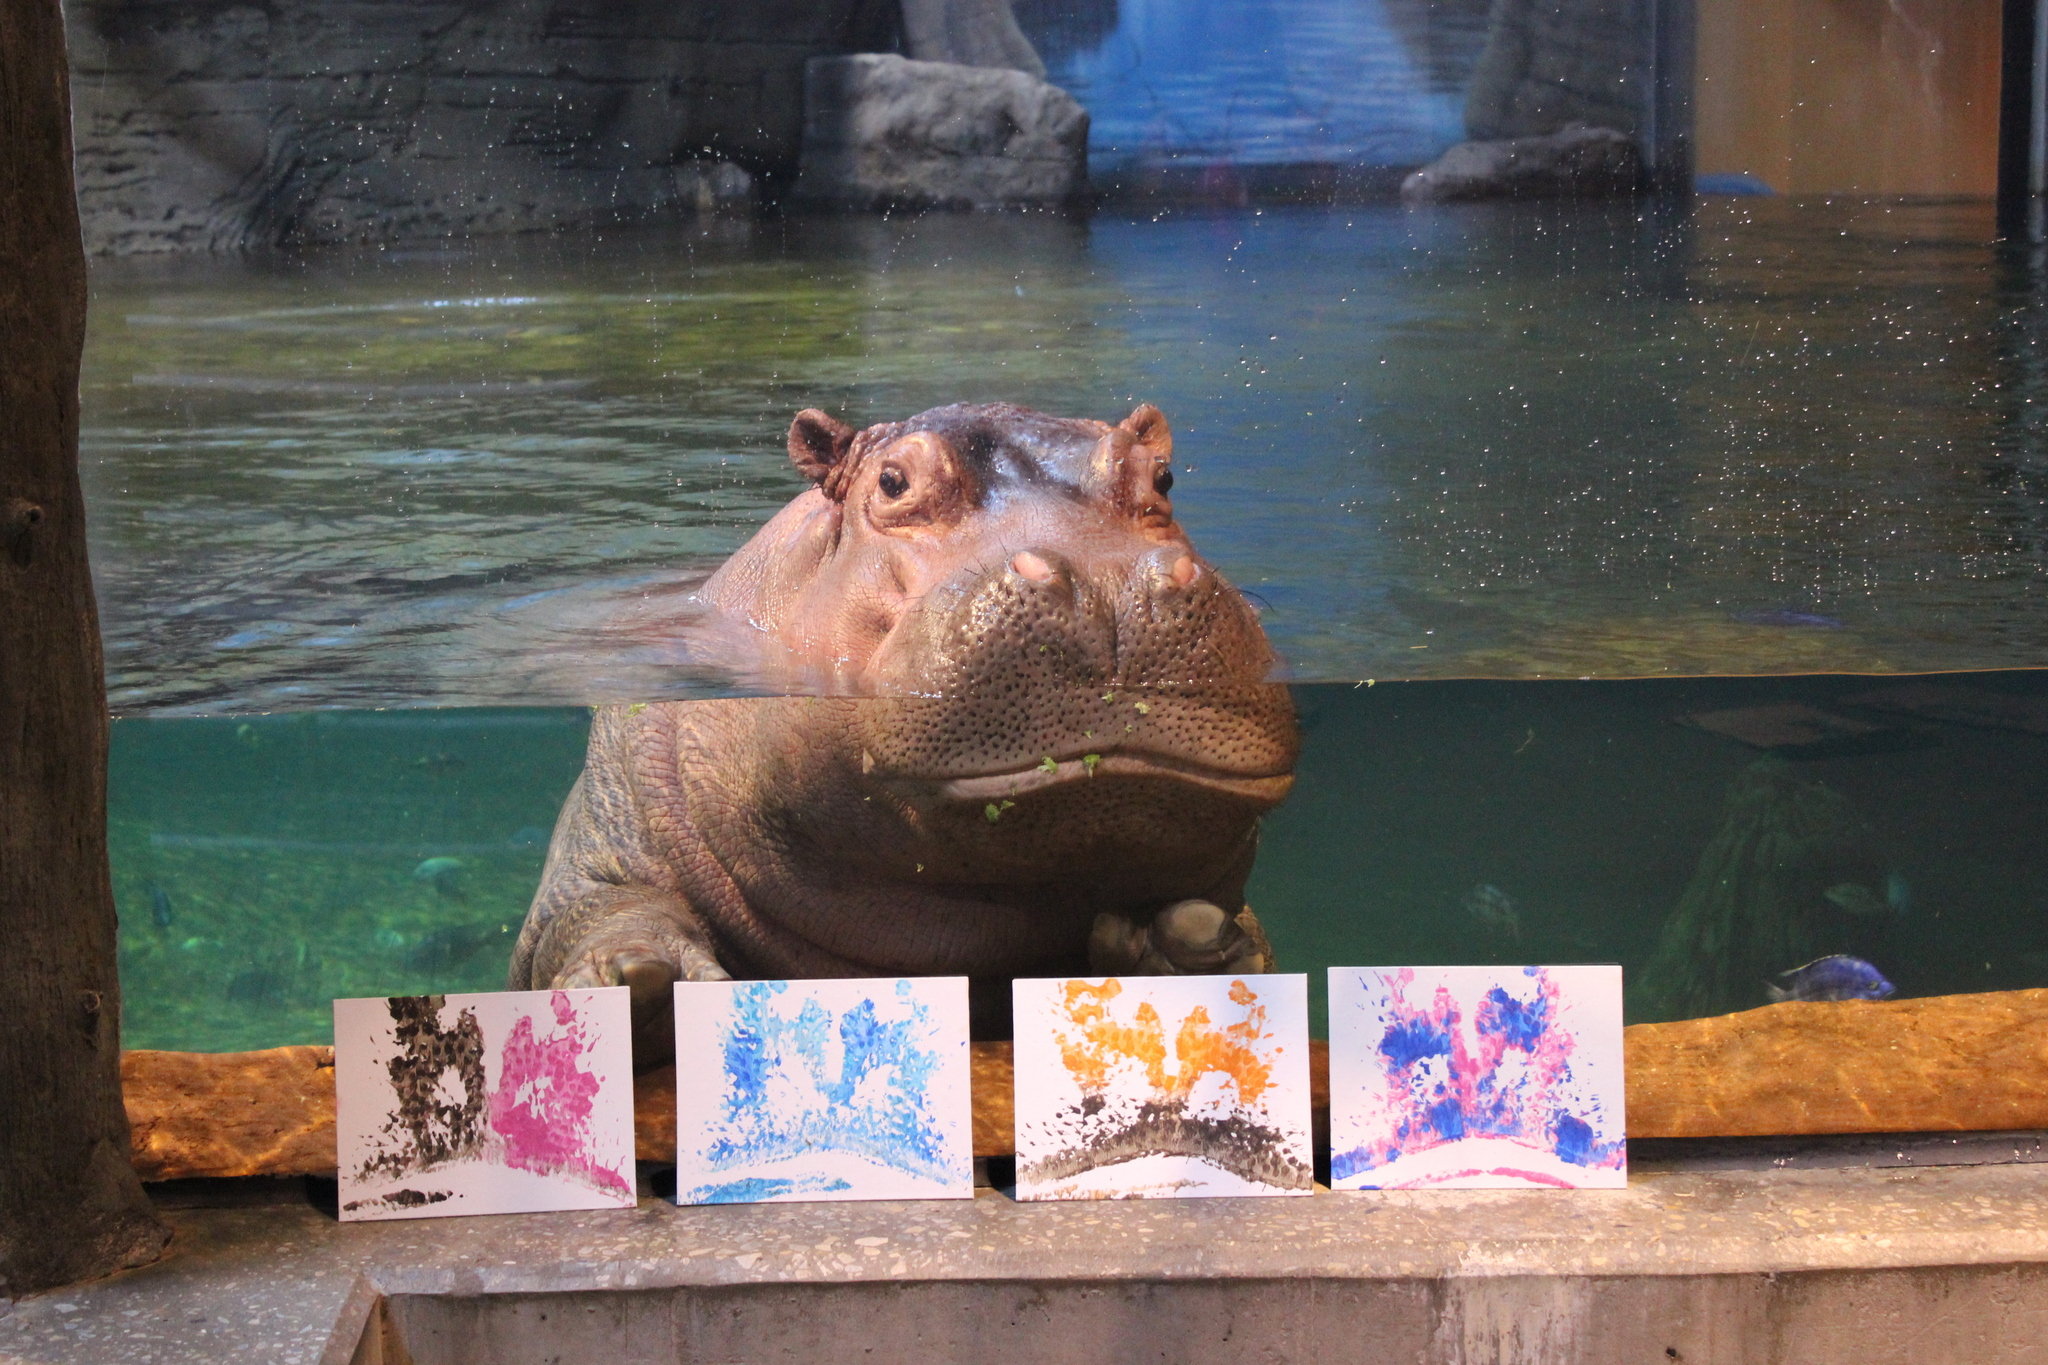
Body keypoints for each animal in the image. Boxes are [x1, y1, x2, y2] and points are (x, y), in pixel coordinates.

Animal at [509, 402, 1298, 1060]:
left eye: (1163, 475)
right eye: (892, 481)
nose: (1110, 582)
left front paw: (1194, 949)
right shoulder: (602, 829)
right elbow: (593, 912)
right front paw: (641, 985)